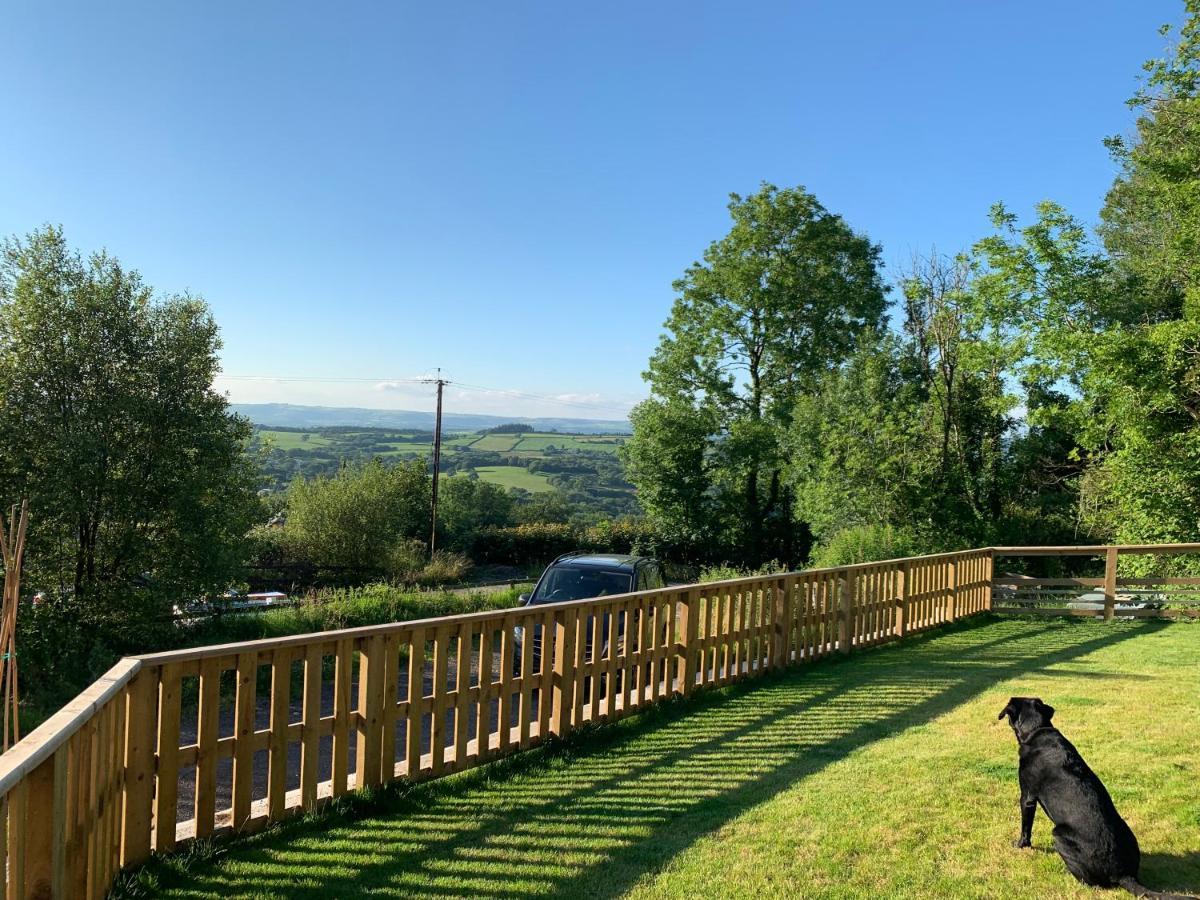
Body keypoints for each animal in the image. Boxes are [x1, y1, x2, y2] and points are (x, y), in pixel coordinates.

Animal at [1003, 700, 1190, 897]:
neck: (1037, 729)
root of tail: (1123, 874)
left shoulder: (1027, 796)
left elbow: (1026, 828)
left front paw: (1020, 845)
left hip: (1058, 835)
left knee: (1091, 882)